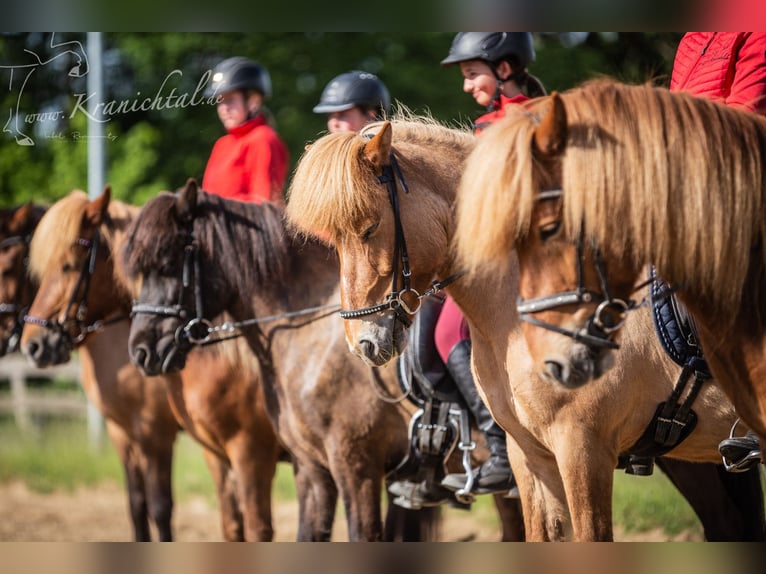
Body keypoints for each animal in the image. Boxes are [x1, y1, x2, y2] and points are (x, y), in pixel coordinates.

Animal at [17, 188, 289, 541]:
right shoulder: (124, 433)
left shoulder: (159, 434)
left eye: (68, 266)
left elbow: (160, 506)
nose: (33, 345)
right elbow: (137, 504)